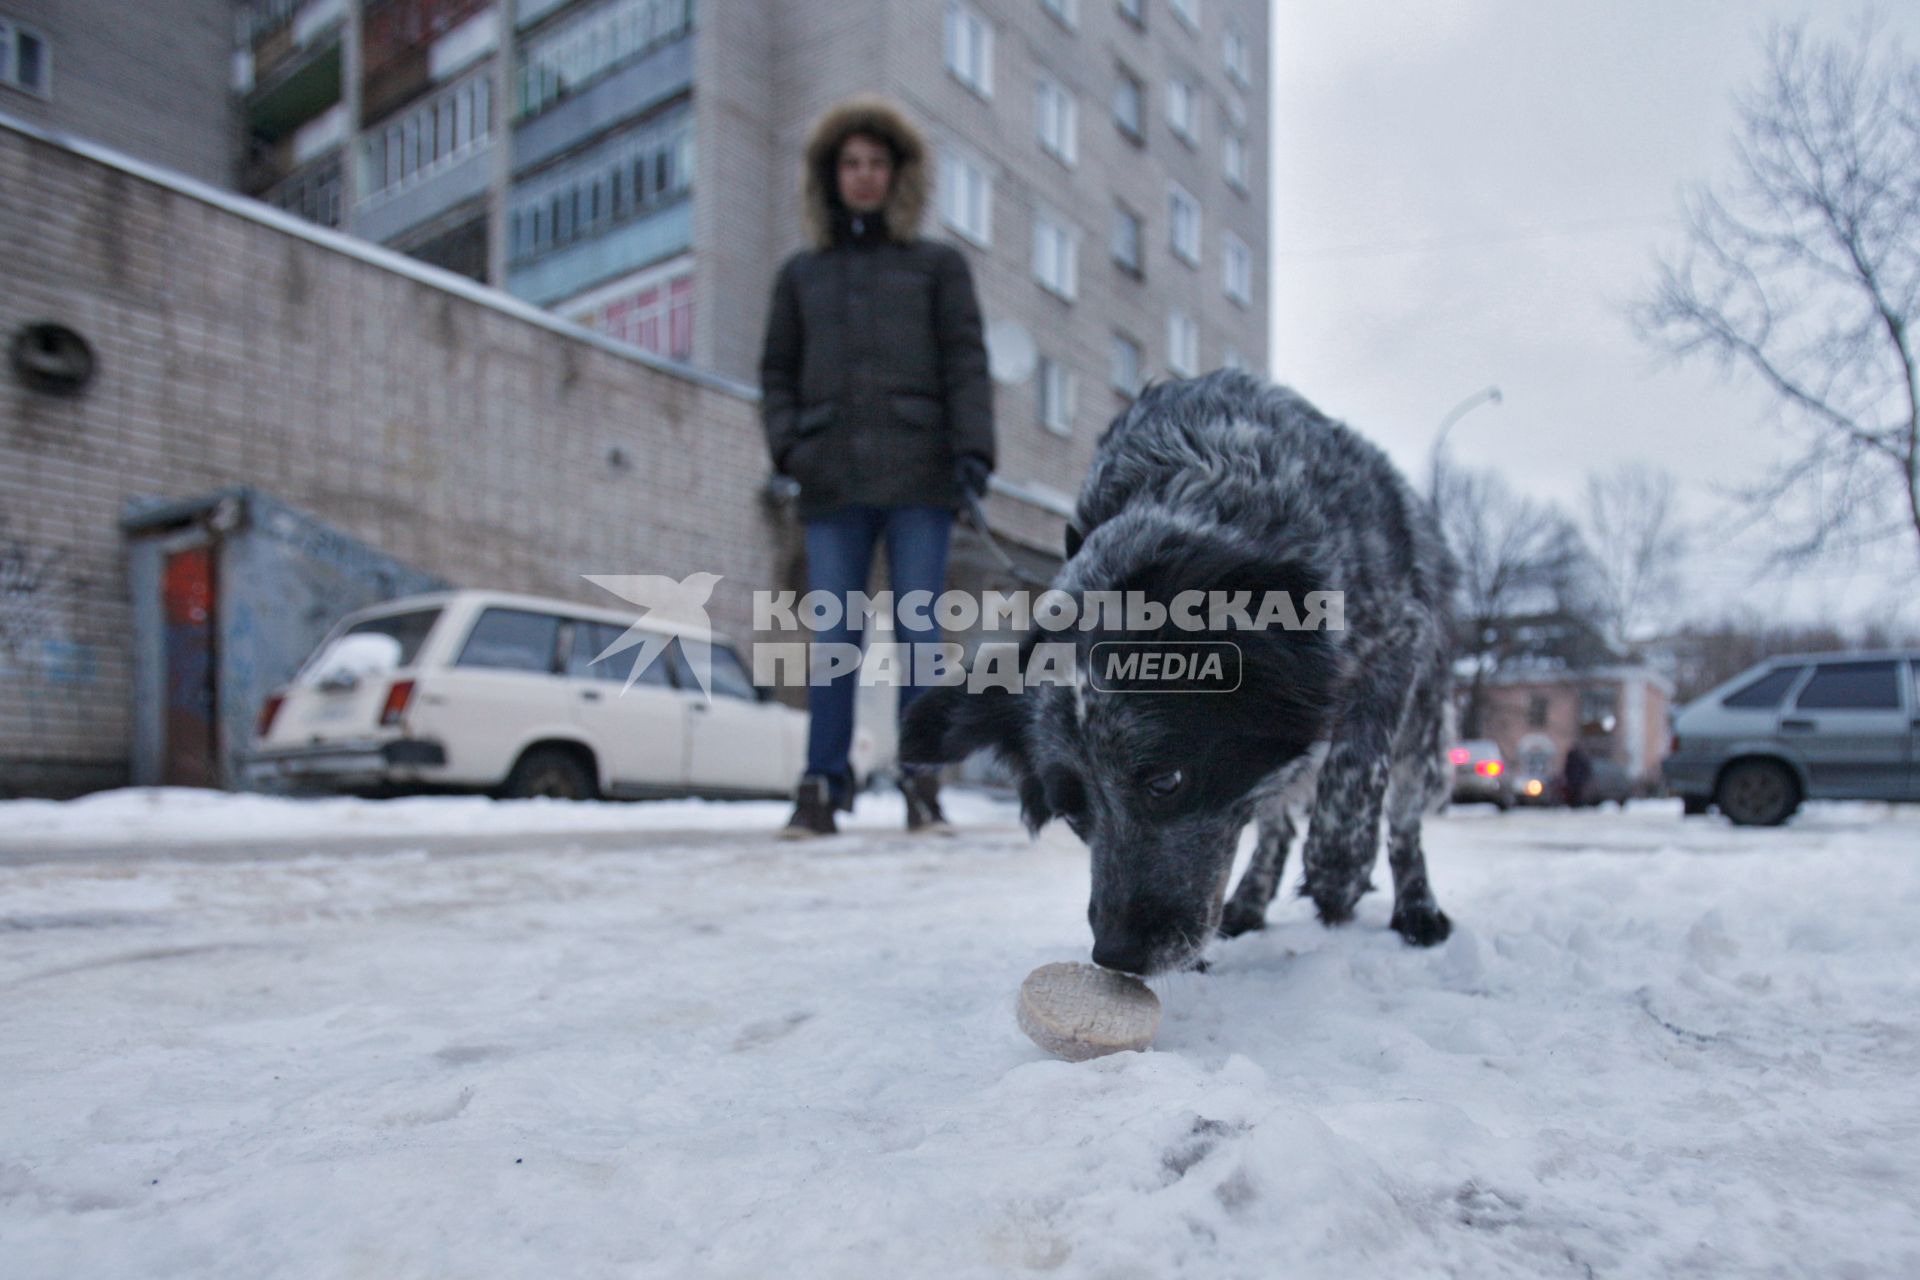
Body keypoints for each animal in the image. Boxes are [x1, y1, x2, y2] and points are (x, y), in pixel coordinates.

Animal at [898, 372, 1451, 982]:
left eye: (1167, 782)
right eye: (1071, 809)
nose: (1117, 955)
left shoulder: (1397, 634)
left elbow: (1355, 771)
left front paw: (1339, 869)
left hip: (1422, 727)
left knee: (1403, 817)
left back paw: (1416, 909)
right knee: (1277, 823)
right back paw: (1249, 902)